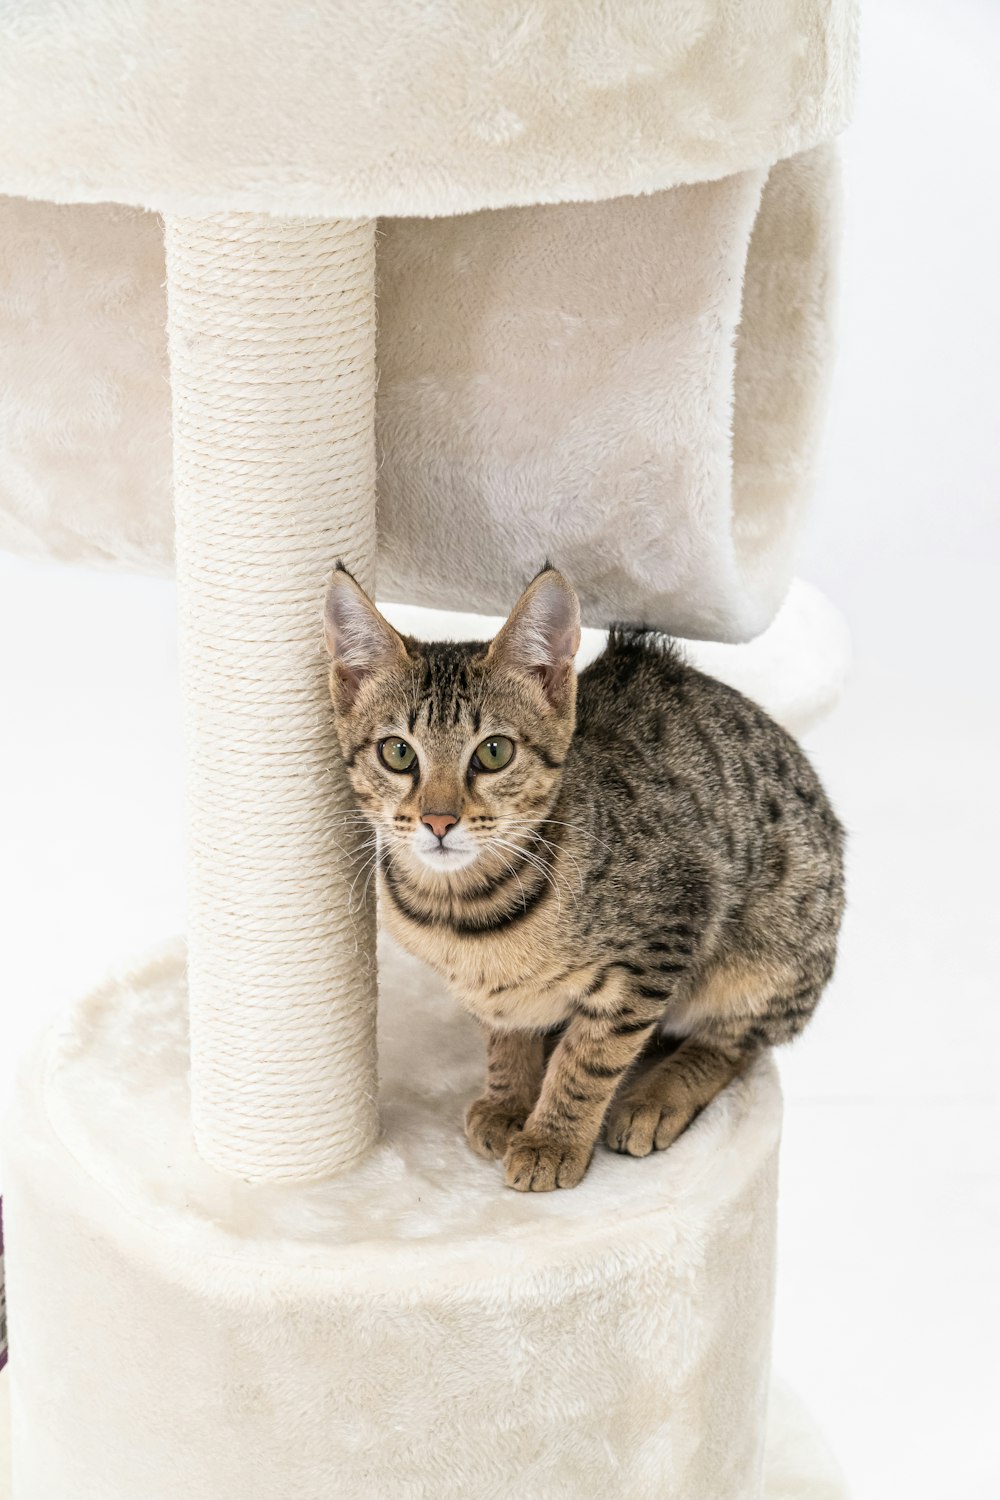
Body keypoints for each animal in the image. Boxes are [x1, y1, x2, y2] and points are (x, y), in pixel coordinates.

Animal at [322, 564, 845, 1194]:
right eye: (397, 753)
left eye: (493, 752)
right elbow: (504, 1031)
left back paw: (657, 1097)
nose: (439, 820)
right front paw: (510, 1097)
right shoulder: (490, 993)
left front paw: (553, 1138)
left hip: (767, 954)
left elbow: (592, 1057)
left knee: (736, 1041)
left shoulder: (670, 927)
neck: (466, 911)